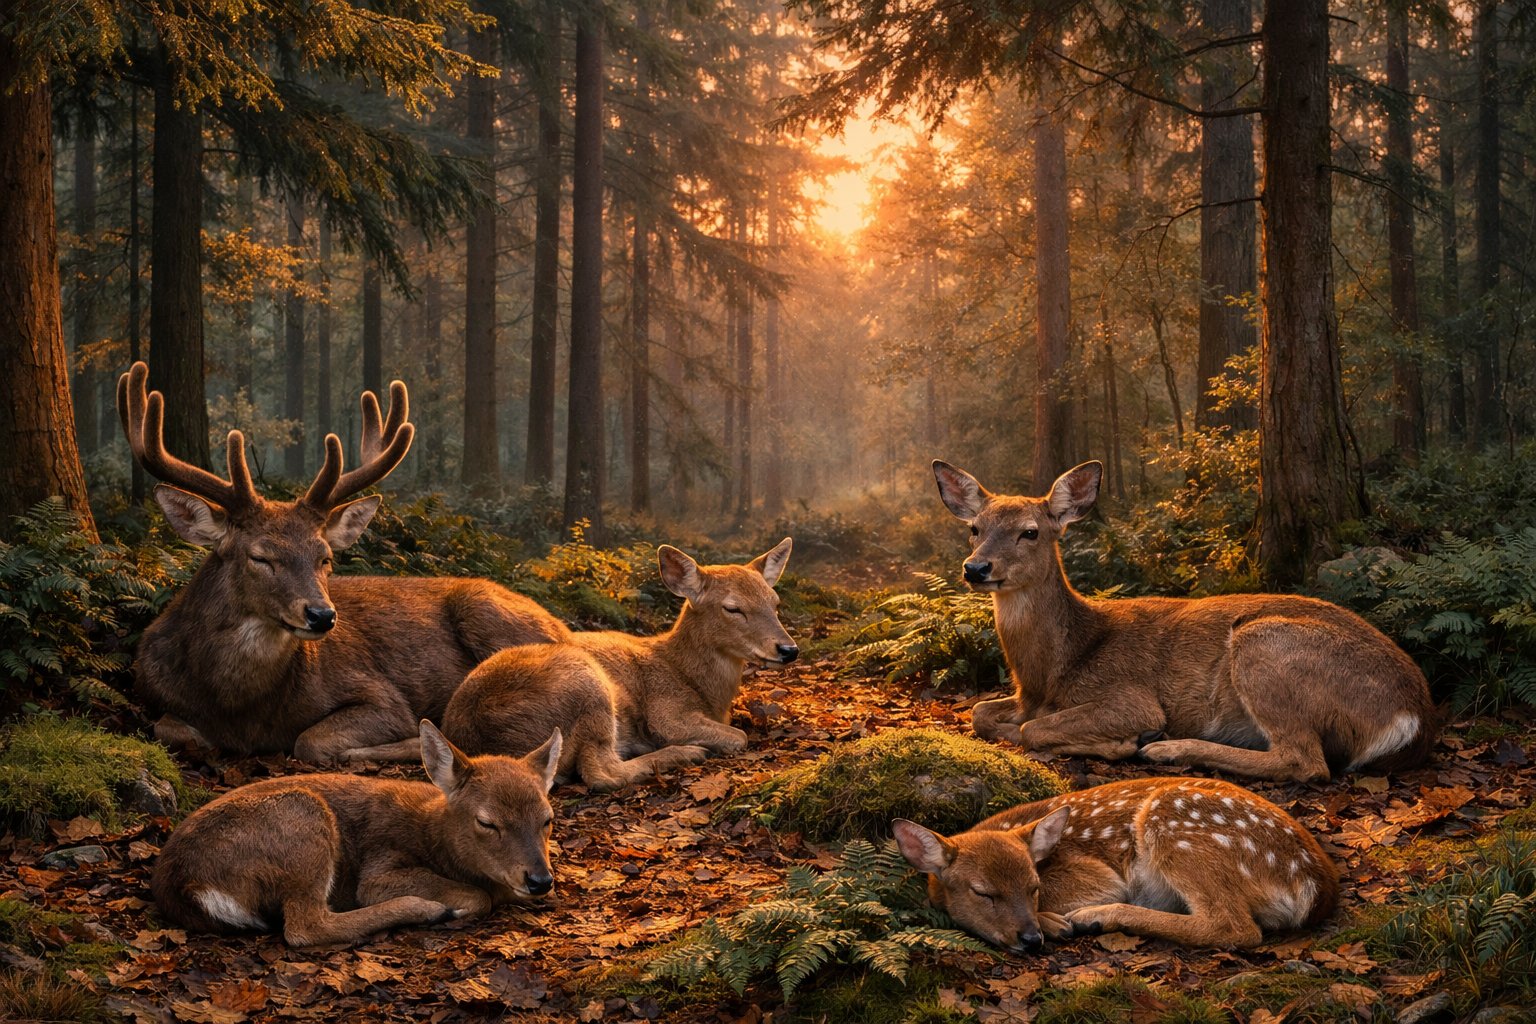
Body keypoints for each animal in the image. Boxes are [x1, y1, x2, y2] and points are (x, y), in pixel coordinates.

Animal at [117, 361, 570, 762]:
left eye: (326, 558)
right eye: (260, 556)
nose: (321, 615)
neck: (241, 708)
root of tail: (562, 625)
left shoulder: (382, 695)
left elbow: (309, 741)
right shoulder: (152, 687)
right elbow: (170, 729)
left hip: (490, 616)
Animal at [153, 720, 561, 947]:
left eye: (547, 818)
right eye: (487, 822)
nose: (540, 880)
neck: (433, 835)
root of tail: (183, 883)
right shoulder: (381, 867)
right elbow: (478, 897)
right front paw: (453, 905)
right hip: (304, 819)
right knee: (303, 926)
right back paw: (427, 909)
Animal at [440, 540, 798, 790]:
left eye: (775, 603)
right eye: (732, 608)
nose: (788, 649)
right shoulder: (667, 713)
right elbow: (739, 735)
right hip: (587, 685)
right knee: (601, 774)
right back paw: (685, 753)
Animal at [893, 777, 1338, 950]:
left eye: (1034, 886)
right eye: (983, 893)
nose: (1030, 938)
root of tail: (1314, 884)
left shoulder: (1098, 873)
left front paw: (1055, 921)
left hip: (1171, 823)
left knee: (1235, 927)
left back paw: (1093, 917)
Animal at [931, 460, 1437, 782]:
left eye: (1031, 532)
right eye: (974, 527)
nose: (976, 568)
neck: (1052, 671)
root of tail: (1413, 716)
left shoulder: (1129, 696)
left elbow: (1031, 730)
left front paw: (1124, 742)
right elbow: (980, 713)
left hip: (1265, 644)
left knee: (1306, 762)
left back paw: (1165, 747)